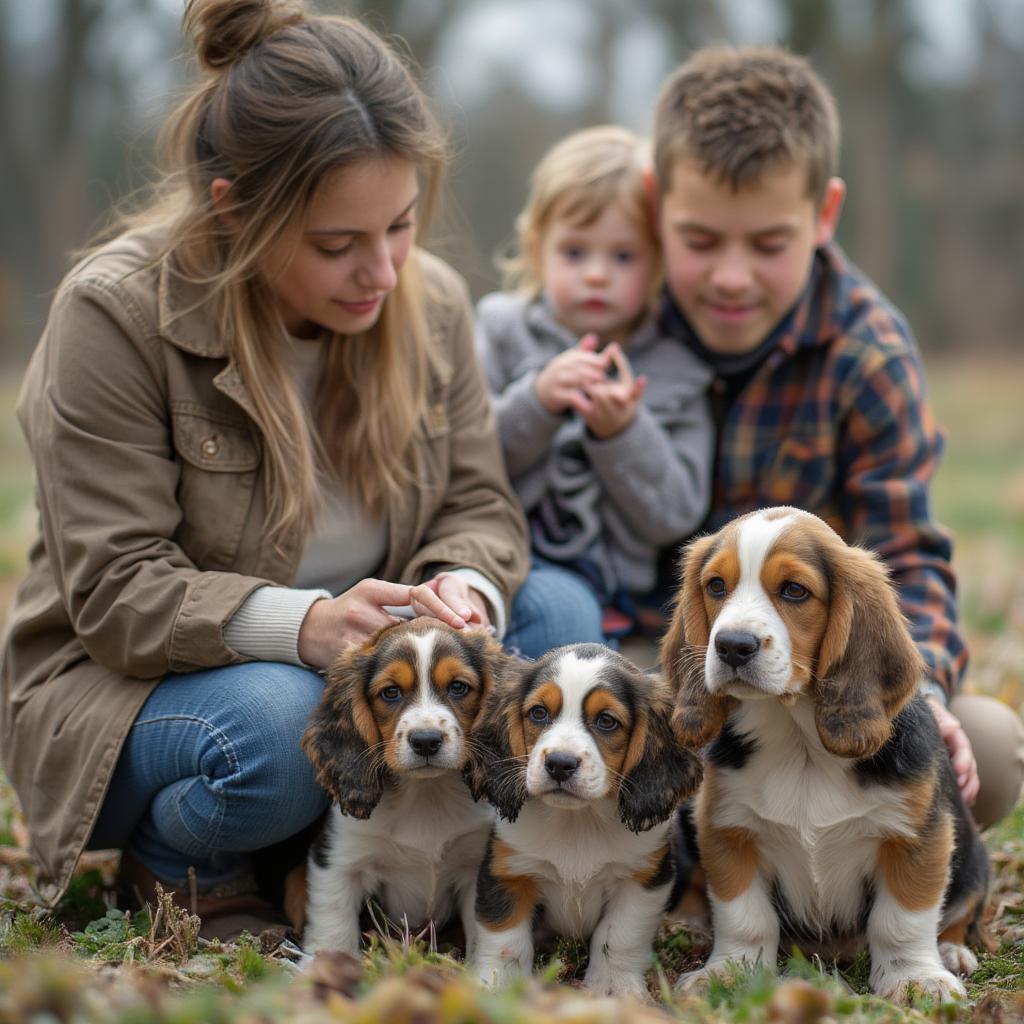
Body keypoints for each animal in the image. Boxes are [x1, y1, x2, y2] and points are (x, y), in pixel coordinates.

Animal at [299, 614, 507, 958]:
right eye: (391, 692)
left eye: (458, 687)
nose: (426, 741)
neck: (426, 793)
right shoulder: (340, 860)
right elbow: (333, 928)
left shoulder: (475, 865)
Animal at [466, 643, 700, 995]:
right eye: (538, 713)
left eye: (606, 721)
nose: (560, 764)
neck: (578, 820)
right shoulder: (507, 871)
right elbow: (505, 939)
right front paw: (498, 986)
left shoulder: (642, 880)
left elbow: (618, 937)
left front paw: (613, 987)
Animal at [663, 507, 991, 1003]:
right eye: (716, 586)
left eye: (794, 590)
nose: (731, 645)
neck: (800, 742)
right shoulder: (727, 830)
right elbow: (744, 917)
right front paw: (728, 973)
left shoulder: (917, 837)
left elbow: (903, 919)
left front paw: (916, 979)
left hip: (974, 859)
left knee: (957, 913)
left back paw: (951, 953)